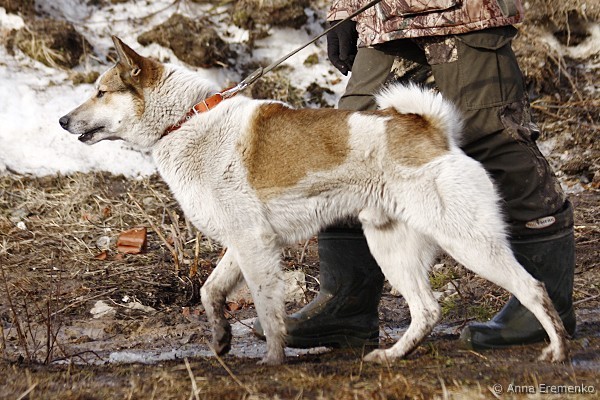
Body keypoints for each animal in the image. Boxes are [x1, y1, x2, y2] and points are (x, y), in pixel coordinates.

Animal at [59, 36, 568, 365]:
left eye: (100, 92)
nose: (62, 120)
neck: (183, 122)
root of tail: (432, 131)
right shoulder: (246, 242)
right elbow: (210, 292)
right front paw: (221, 340)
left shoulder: (255, 246)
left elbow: (268, 312)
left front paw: (272, 362)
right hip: (391, 247)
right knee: (426, 311)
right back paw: (392, 355)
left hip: (469, 242)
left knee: (533, 288)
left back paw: (557, 350)